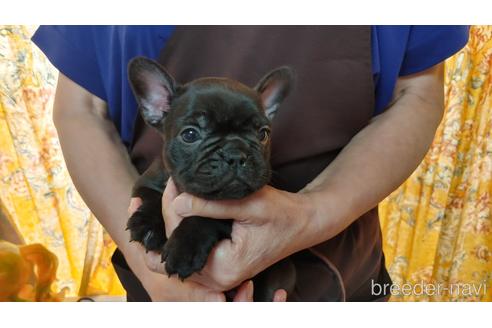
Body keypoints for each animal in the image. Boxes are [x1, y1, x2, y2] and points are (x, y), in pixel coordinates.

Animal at [127, 57, 296, 302]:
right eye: (190, 134)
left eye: (263, 134)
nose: (236, 153)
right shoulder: (145, 183)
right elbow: (152, 199)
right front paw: (148, 224)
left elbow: (205, 217)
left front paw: (185, 247)